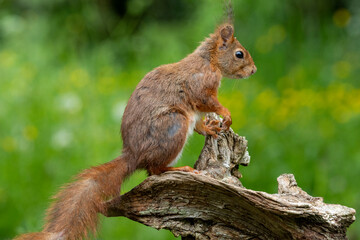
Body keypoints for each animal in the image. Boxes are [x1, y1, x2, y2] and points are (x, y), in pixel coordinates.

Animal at [16, 22, 256, 238]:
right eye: (239, 54)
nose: (254, 70)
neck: (209, 61)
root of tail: (134, 155)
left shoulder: (196, 112)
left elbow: (199, 124)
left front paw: (212, 128)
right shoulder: (200, 86)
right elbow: (208, 101)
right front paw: (226, 113)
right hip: (174, 125)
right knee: (154, 170)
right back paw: (179, 169)